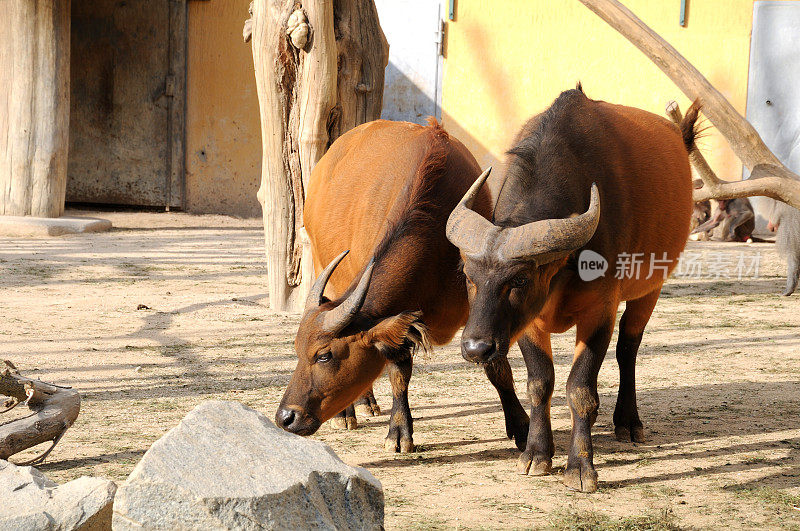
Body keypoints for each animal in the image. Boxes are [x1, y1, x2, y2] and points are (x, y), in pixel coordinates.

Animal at [276, 119, 532, 454]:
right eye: (296, 350)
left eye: (324, 355)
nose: (285, 417)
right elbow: (398, 368)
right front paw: (399, 431)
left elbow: (496, 362)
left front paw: (522, 426)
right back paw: (350, 412)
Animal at [446, 85, 696, 492]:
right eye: (468, 275)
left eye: (520, 279)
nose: (475, 348)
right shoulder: (528, 323)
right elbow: (539, 384)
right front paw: (536, 453)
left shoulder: (599, 311)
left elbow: (580, 389)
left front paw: (580, 466)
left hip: (651, 287)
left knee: (629, 347)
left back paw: (629, 421)